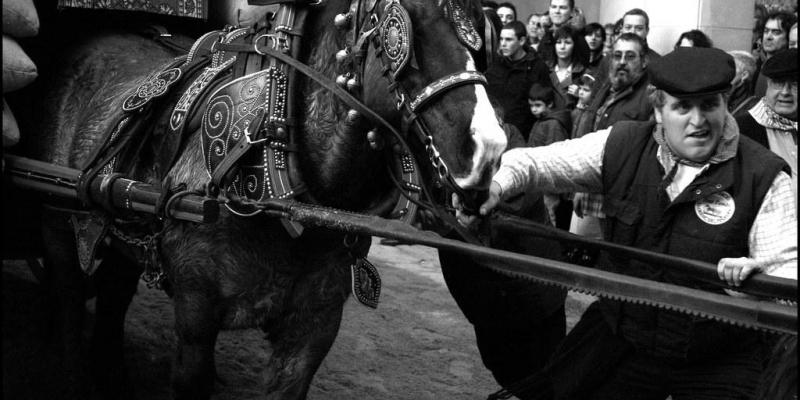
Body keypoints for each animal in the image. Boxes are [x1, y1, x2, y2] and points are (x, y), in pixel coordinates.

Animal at [25, 0, 506, 398]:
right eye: (404, 28)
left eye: (481, 37)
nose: (488, 149)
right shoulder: (196, 313)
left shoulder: (313, 329)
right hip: (57, 221)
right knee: (69, 298)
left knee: (113, 292)